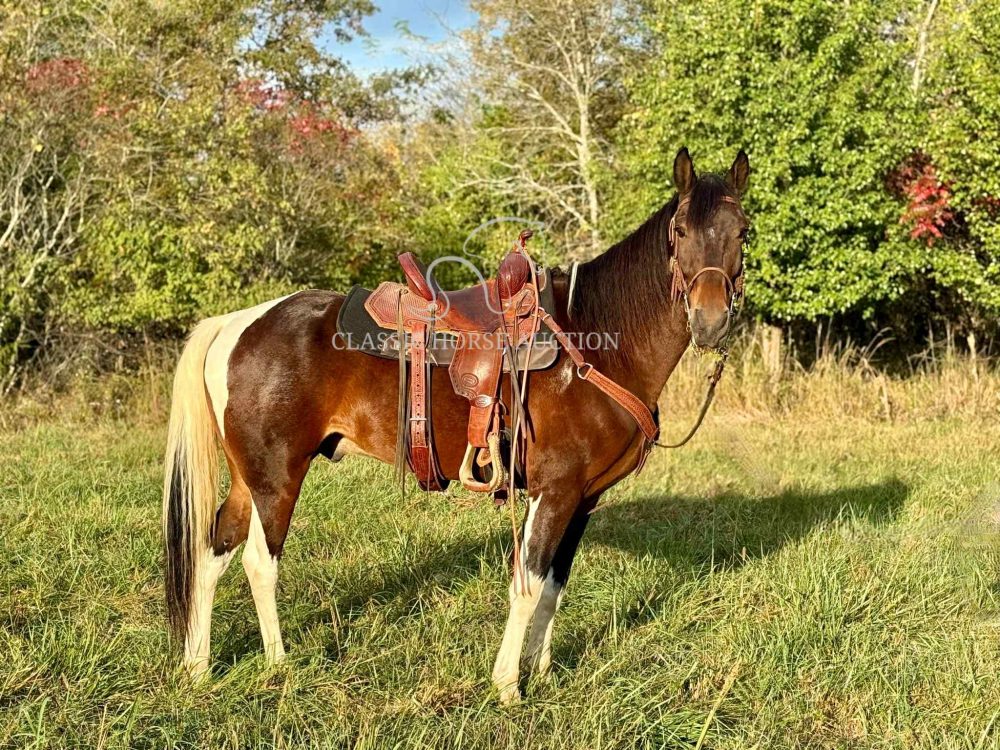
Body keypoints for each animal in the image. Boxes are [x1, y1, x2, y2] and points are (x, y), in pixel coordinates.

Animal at [162, 147, 750, 703]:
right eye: (680, 231)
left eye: (743, 232)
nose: (711, 321)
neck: (596, 344)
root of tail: (236, 323)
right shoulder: (554, 490)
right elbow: (528, 584)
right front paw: (508, 686)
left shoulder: (584, 498)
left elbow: (554, 586)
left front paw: (542, 671)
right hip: (278, 476)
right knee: (259, 562)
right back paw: (279, 666)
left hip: (250, 477)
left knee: (213, 552)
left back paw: (197, 667)